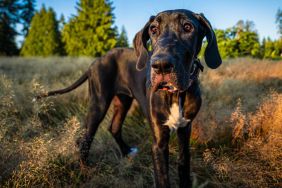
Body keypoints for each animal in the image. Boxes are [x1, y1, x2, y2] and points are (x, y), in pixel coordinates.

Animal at [38, 9, 223, 188]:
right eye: (153, 29)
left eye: (187, 27)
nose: (161, 65)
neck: (175, 94)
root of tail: (96, 61)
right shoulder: (158, 143)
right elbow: (163, 179)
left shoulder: (185, 130)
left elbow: (183, 167)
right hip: (98, 103)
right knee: (85, 138)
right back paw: (85, 170)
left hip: (123, 101)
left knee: (113, 127)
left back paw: (126, 151)